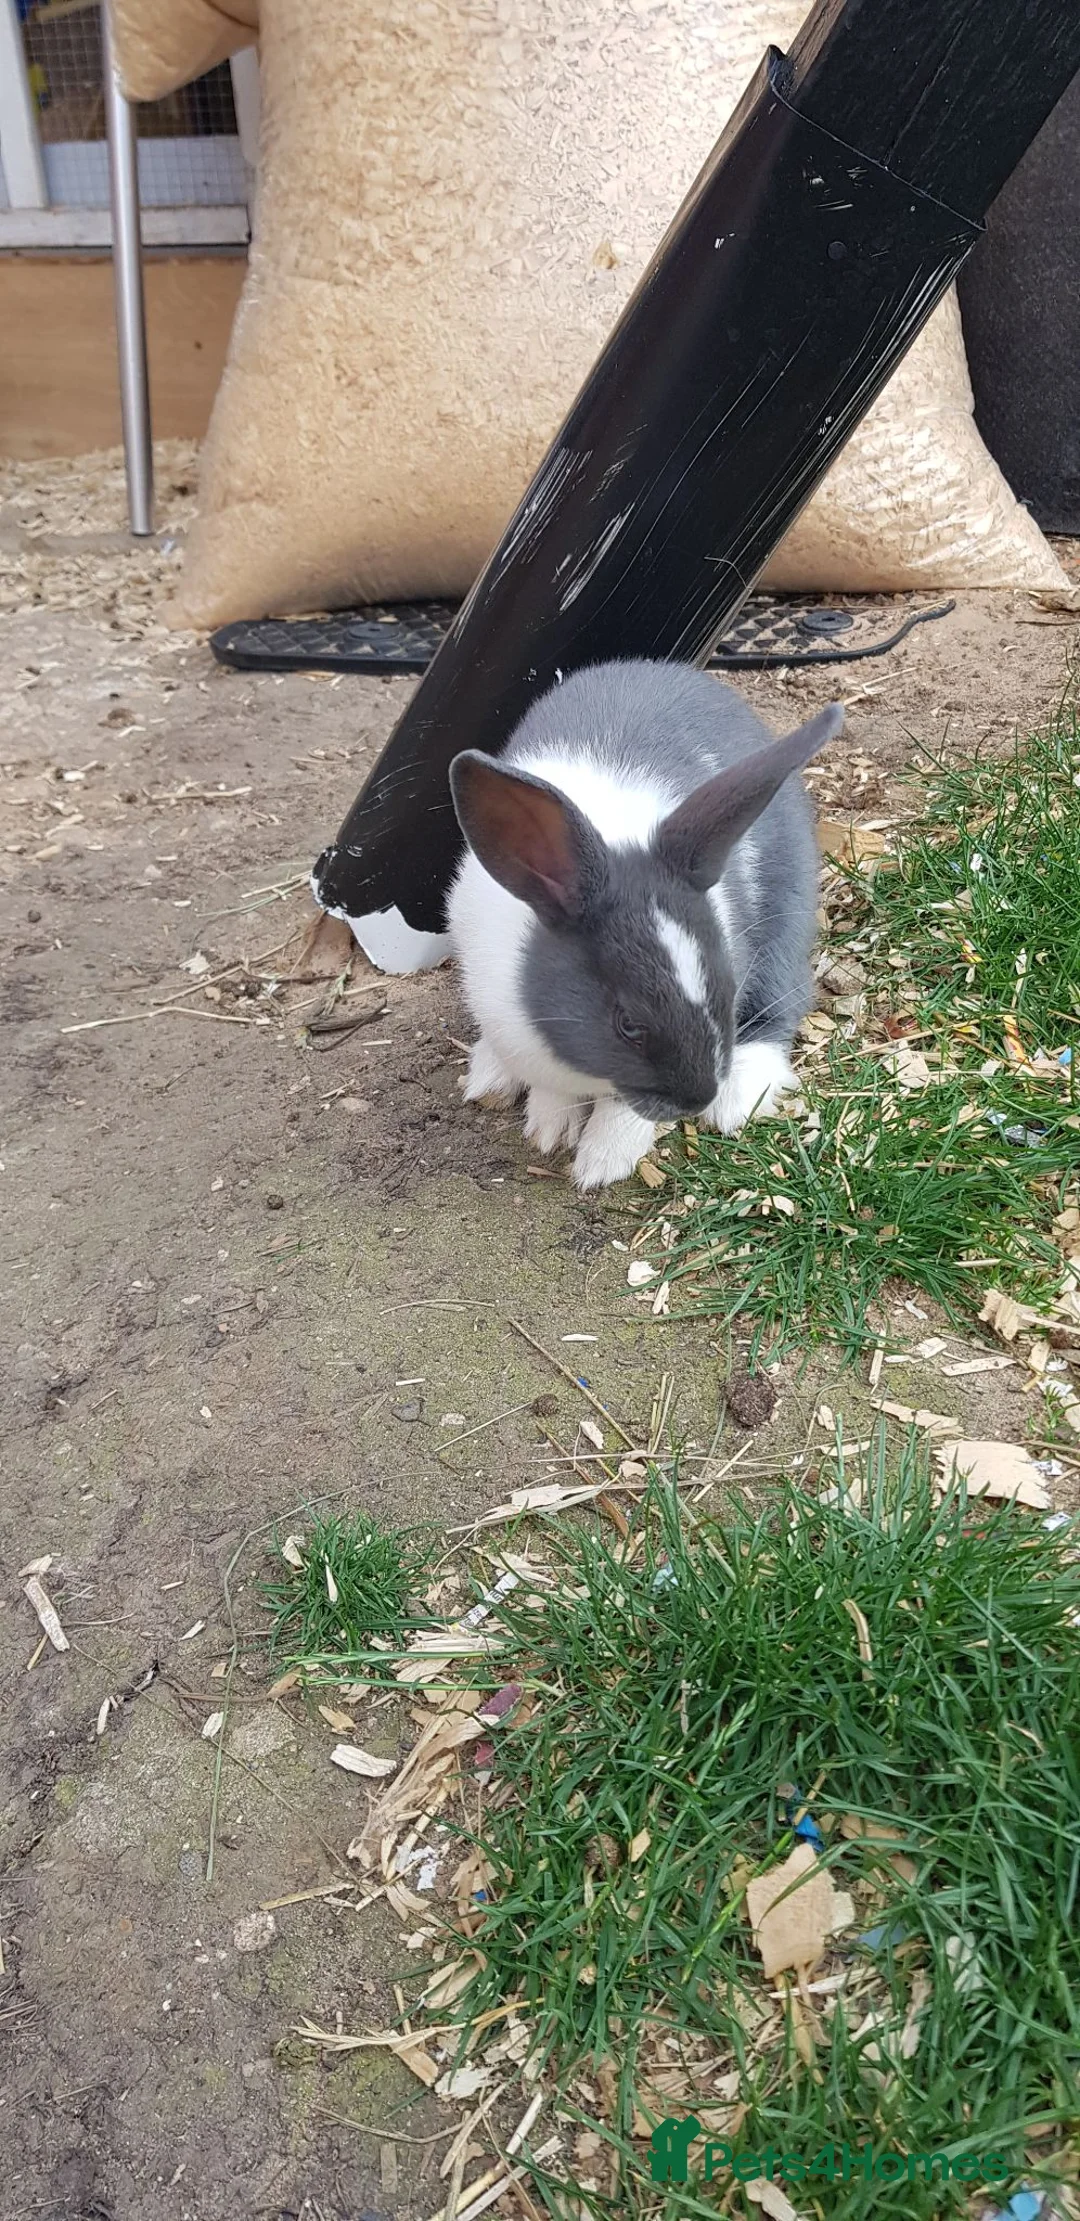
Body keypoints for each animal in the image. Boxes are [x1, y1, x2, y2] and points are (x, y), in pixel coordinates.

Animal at [446, 659, 842, 1191]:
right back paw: (490, 1075)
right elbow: (552, 1087)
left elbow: (623, 1110)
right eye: (628, 1024)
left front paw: (601, 1163)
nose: (697, 1099)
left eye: (724, 989)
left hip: (787, 908)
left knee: (785, 994)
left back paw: (738, 1099)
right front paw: (550, 1129)